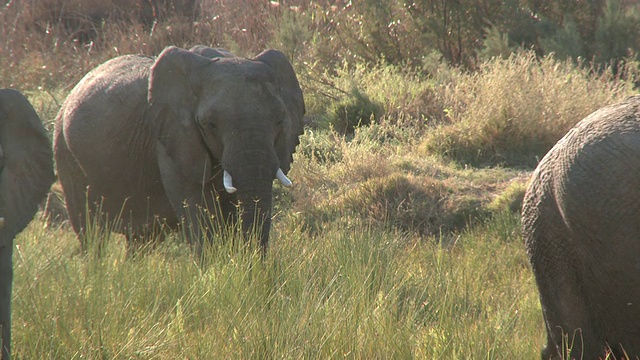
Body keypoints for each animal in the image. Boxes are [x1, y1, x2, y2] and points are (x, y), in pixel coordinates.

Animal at [53, 45, 304, 253]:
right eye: (210, 124)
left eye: (280, 120)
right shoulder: (170, 139)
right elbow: (197, 210)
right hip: (65, 154)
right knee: (91, 234)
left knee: (141, 241)